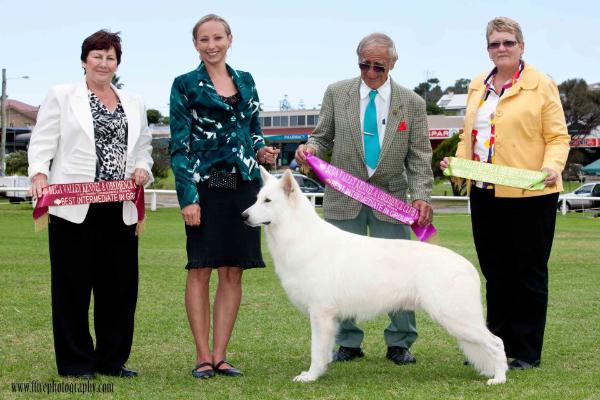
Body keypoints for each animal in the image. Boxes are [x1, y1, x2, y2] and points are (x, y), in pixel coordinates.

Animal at [241, 168, 508, 384]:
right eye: (256, 199)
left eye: (268, 200)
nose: (243, 216)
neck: (299, 234)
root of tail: (468, 266)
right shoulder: (328, 318)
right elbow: (324, 351)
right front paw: (322, 371)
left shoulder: (320, 314)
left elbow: (316, 350)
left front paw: (310, 376)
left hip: (455, 317)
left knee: (497, 342)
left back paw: (499, 378)